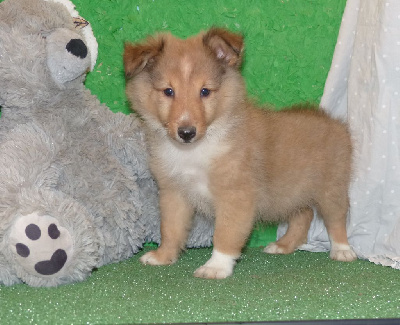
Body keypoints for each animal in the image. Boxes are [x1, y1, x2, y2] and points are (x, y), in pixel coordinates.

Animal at [122, 27, 356, 278]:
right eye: (168, 91)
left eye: (205, 91)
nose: (186, 132)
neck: (196, 150)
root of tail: (332, 121)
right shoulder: (173, 192)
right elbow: (170, 228)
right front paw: (163, 256)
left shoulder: (235, 193)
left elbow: (225, 233)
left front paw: (215, 267)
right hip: (292, 192)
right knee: (303, 215)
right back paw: (282, 246)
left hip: (331, 188)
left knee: (336, 219)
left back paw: (343, 251)